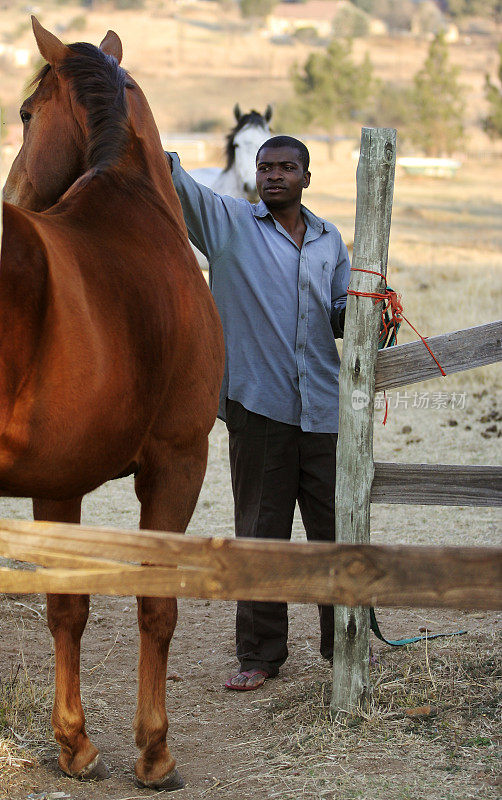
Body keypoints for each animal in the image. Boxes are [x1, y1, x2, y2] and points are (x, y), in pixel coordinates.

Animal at [0, 15, 224, 792]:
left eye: (25, 113)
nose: (14, 194)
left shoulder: (58, 482)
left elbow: (67, 608)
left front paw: (75, 745)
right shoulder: (177, 464)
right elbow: (155, 605)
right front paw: (155, 752)